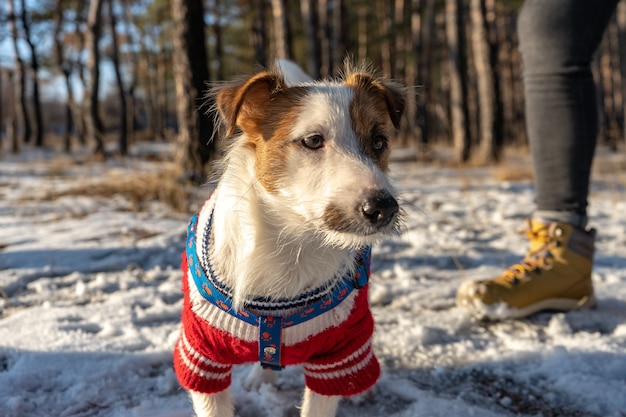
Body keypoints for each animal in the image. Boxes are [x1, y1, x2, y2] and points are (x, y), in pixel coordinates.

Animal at [173, 59, 404, 416]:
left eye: (379, 141)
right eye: (313, 140)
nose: (384, 207)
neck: (291, 242)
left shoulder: (339, 354)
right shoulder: (202, 355)